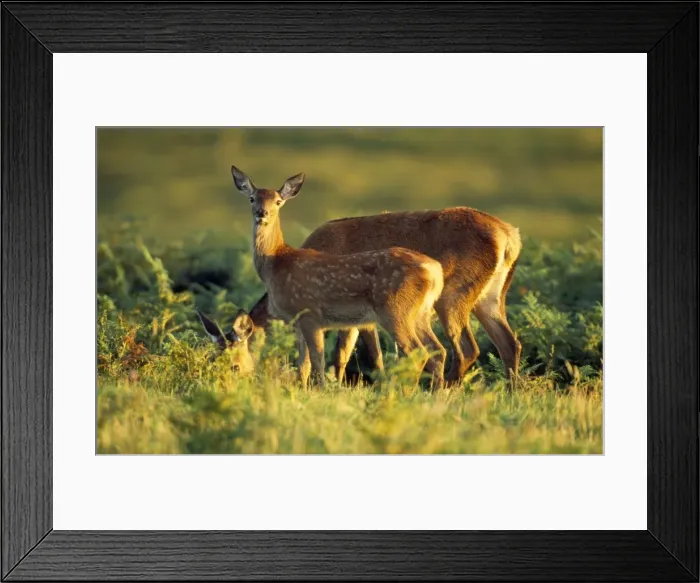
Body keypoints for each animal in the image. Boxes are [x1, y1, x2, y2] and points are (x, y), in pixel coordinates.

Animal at [230, 165, 446, 388]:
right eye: (252, 198)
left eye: (278, 201)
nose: (261, 213)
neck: (276, 263)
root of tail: (434, 271)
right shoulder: (297, 321)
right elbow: (303, 364)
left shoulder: (309, 313)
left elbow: (317, 360)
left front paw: (321, 390)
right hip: (421, 313)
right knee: (438, 351)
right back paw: (437, 392)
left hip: (396, 310)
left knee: (419, 353)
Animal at [246, 206, 522, 388]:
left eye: (241, 342)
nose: (243, 376)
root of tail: (510, 236)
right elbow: (351, 353)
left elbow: (360, 354)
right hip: (490, 297)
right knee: (509, 343)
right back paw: (513, 393)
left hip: (452, 295)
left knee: (465, 348)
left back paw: (446, 389)